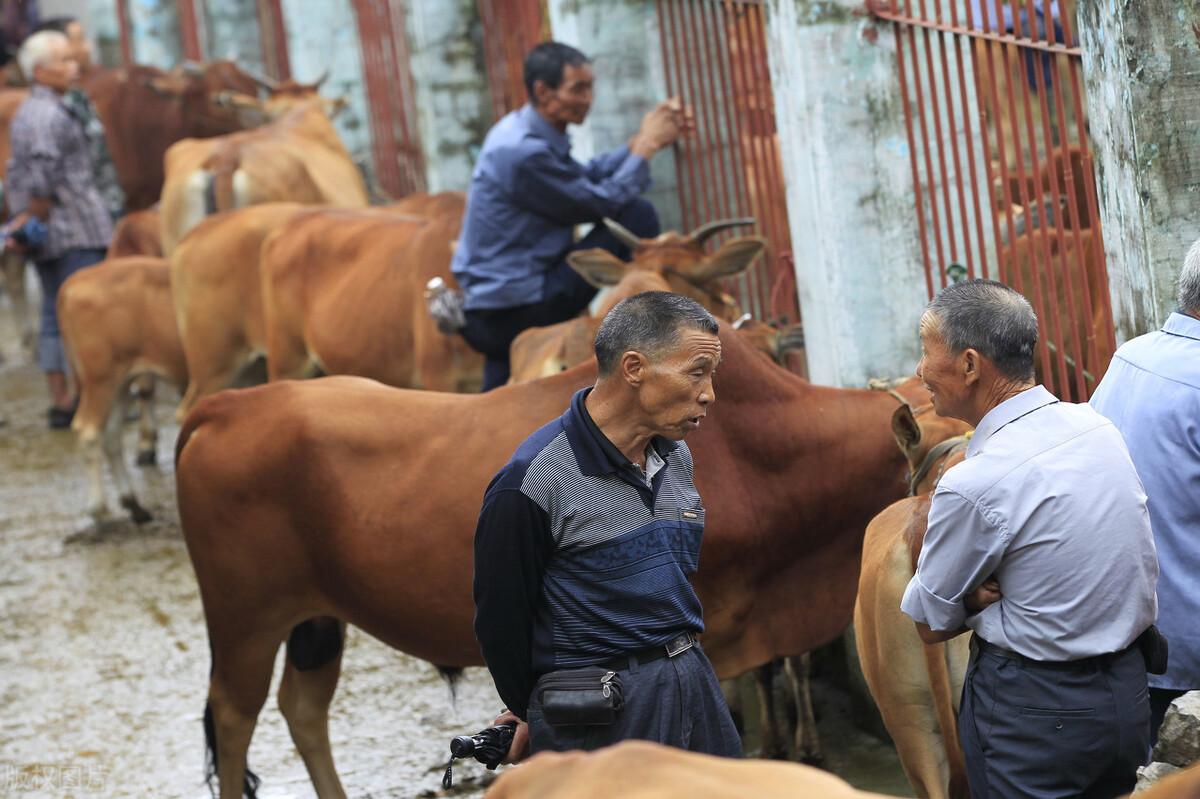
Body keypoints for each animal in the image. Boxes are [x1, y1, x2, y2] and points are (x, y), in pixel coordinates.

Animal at [57, 253, 184, 515]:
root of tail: (74, 280)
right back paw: (99, 507)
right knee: (88, 431)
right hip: (100, 379)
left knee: (111, 435)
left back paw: (133, 504)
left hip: (122, 382)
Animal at [180, 321, 936, 791]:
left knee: (302, 708)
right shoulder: (720, 635)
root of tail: (228, 405)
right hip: (245, 618)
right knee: (233, 720)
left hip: (316, 619)